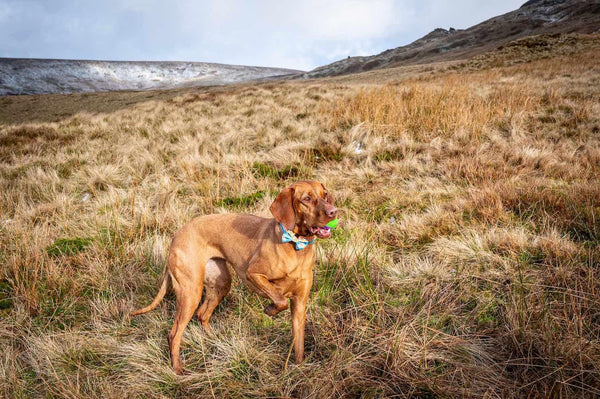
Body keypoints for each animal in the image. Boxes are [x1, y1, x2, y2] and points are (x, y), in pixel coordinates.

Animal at [132, 181, 338, 376]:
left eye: (325, 194)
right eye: (307, 199)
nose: (333, 211)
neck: (296, 245)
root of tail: (176, 236)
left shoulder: (300, 304)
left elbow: (299, 344)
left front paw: (299, 368)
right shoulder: (253, 274)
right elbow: (280, 300)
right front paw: (270, 309)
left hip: (221, 283)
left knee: (202, 314)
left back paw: (214, 340)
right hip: (190, 292)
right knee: (174, 334)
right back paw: (178, 370)